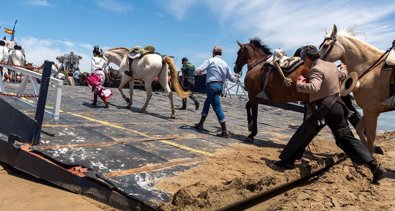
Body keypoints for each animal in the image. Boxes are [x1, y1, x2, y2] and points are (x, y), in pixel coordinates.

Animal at [320, 25, 394, 153]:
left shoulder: (371, 111)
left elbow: (371, 137)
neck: (370, 68)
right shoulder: (369, 110)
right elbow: (359, 129)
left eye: (325, 45)